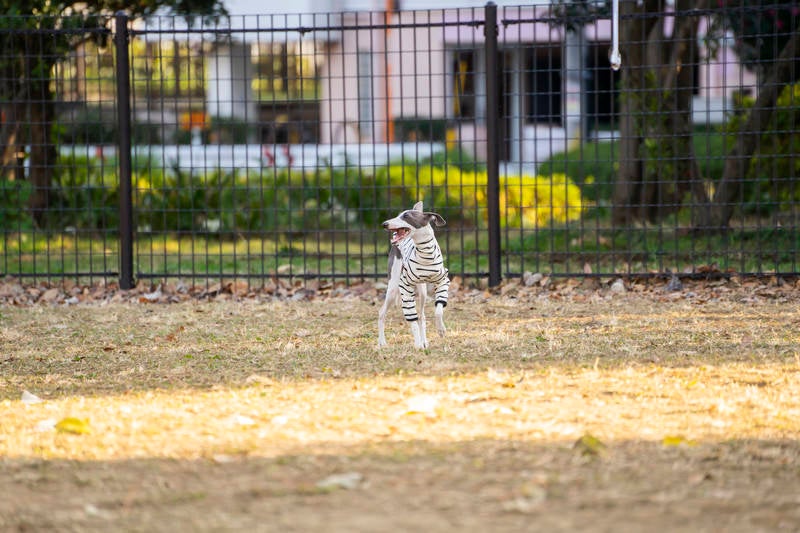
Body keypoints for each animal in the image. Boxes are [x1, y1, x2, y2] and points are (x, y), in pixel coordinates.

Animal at [376, 201, 446, 350]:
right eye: (398, 215)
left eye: (406, 216)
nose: (384, 224)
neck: (426, 254)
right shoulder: (405, 287)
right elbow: (412, 321)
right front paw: (418, 344)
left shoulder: (443, 281)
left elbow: (438, 310)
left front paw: (441, 329)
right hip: (393, 289)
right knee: (382, 313)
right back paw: (382, 342)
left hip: (422, 292)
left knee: (422, 316)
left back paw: (425, 340)